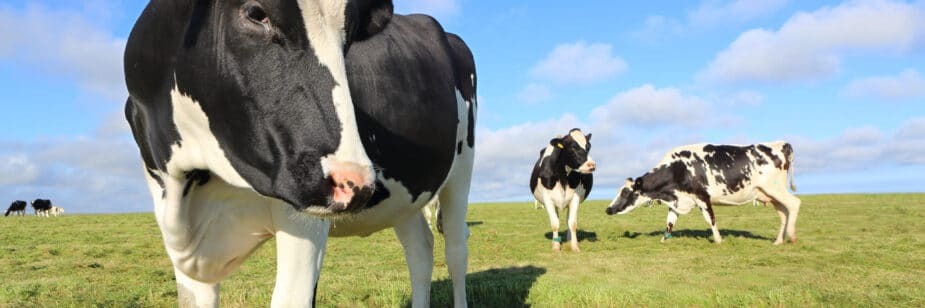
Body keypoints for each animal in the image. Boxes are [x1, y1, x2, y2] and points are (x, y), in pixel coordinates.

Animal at [122, 1, 476, 306]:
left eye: (348, 37)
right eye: (255, 13)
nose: (354, 183)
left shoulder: (304, 218)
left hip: (461, 168)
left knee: (456, 248)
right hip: (406, 195)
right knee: (420, 250)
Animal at [604, 142, 796, 245]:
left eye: (626, 192)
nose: (608, 209)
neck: (678, 168)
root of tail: (782, 144)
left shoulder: (702, 197)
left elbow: (710, 219)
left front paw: (718, 240)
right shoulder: (678, 199)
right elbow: (669, 222)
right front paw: (664, 240)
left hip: (774, 188)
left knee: (794, 204)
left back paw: (792, 236)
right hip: (770, 194)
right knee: (783, 213)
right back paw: (778, 241)